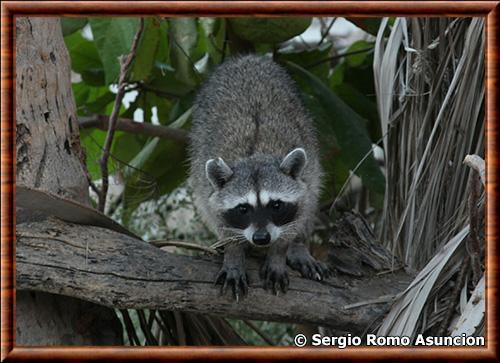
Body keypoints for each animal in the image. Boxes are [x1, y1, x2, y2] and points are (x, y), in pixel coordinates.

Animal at [188, 53, 328, 298]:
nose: (261, 239)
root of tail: (248, 58)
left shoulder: (306, 181)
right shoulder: (208, 188)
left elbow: (300, 214)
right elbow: (219, 218)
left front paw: (280, 253)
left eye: (276, 205)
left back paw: (299, 246)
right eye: (243, 208)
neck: (255, 154)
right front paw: (234, 255)